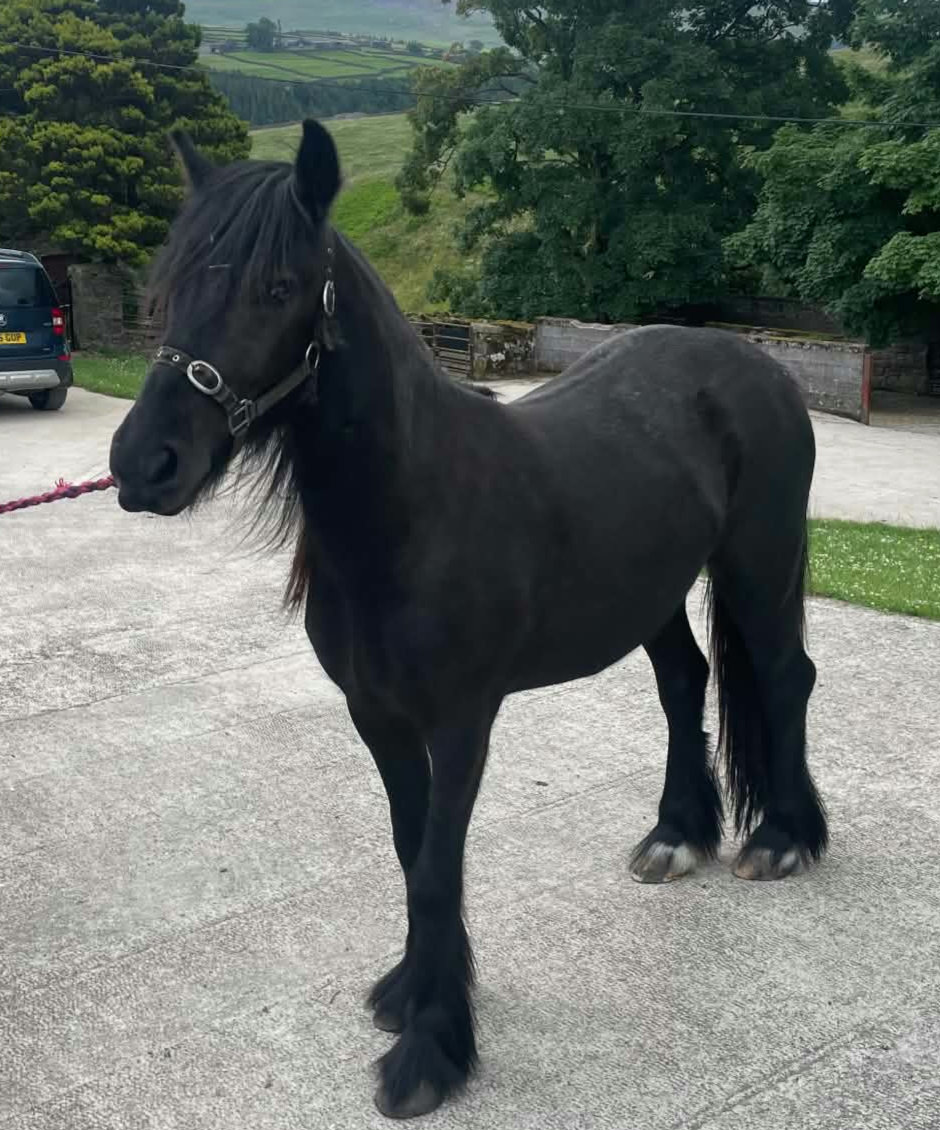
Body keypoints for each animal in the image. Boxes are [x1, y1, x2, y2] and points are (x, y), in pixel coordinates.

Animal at [109, 120, 828, 1120]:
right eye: (173, 286)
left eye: (278, 288)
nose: (145, 464)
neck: (414, 512)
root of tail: (759, 365)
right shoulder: (377, 719)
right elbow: (410, 856)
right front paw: (412, 994)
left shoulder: (460, 724)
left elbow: (437, 871)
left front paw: (429, 1052)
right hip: (650, 590)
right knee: (687, 681)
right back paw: (677, 836)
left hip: (760, 561)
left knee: (784, 677)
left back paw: (783, 840)